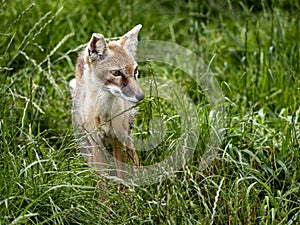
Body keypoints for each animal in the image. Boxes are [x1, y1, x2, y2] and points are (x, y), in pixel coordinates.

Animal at [70, 24, 145, 190]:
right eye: (116, 72)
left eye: (135, 71)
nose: (140, 97)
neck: (105, 114)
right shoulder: (96, 142)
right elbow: (102, 183)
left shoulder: (118, 138)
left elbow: (122, 175)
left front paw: (124, 195)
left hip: (127, 134)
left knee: (133, 155)